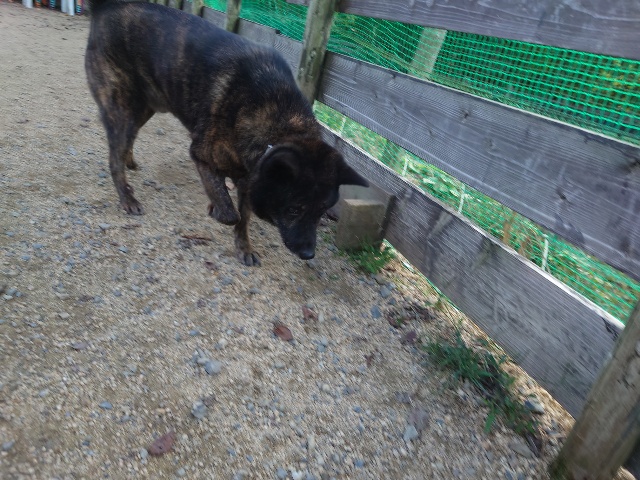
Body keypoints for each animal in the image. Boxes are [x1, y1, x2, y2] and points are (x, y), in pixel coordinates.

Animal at [85, 0, 368, 265]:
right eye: (294, 210)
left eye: (322, 212)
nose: (309, 254)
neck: (276, 117)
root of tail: (105, 7)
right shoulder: (202, 156)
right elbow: (231, 213)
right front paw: (217, 210)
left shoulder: (248, 179)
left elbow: (243, 219)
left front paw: (244, 248)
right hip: (121, 109)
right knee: (114, 158)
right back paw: (127, 197)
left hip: (144, 109)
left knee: (128, 140)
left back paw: (130, 161)